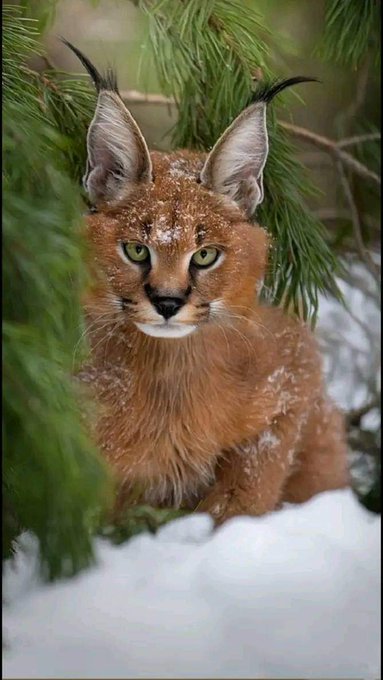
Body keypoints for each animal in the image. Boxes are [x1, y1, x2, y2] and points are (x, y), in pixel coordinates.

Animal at [67, 41, 352, 520]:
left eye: (205, 255)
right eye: (137, 250)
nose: (167, 303)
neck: (170, 374)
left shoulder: (294, 372)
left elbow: (249, 485)